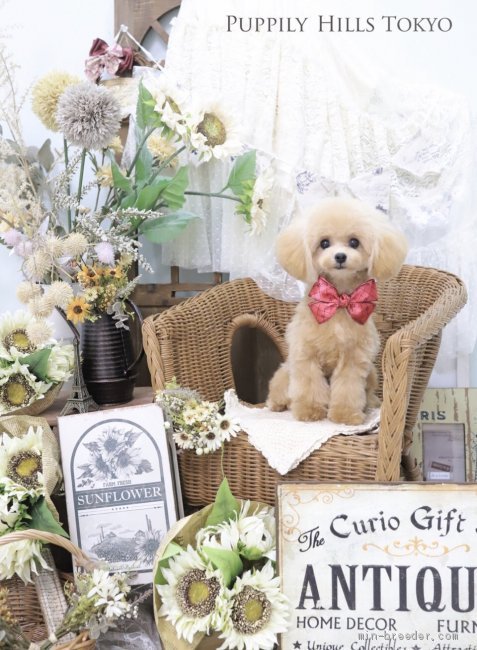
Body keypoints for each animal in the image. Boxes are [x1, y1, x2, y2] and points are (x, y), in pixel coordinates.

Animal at [266, 198, 408, 425]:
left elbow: (347, 388)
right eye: (324, 243)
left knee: (368, 392)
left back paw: (371, 403)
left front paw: (345, 414)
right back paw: (277, 404)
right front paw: (309, 411)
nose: (340, 256)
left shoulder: (353, 358)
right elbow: (309, 384)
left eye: (354, 242)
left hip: (372, 374)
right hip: (285, 373)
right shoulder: (306, 355)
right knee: (280, 390)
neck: (340, 301)